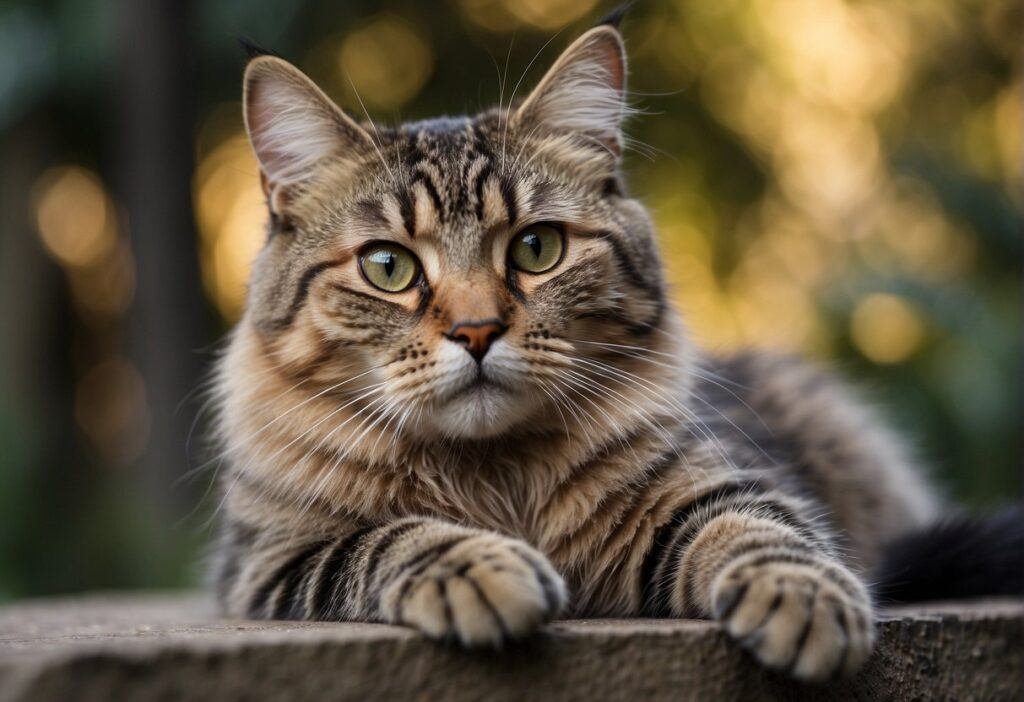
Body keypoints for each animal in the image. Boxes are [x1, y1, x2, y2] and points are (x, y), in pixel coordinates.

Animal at [209, 15, 1024, 683]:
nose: (476, 332)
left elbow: (757, 527)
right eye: (388, 267)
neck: (493, 476)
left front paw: (802, 598)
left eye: (536, 249)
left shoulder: (705, 489)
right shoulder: (269, 561)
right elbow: (392, 539)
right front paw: (479, 570)